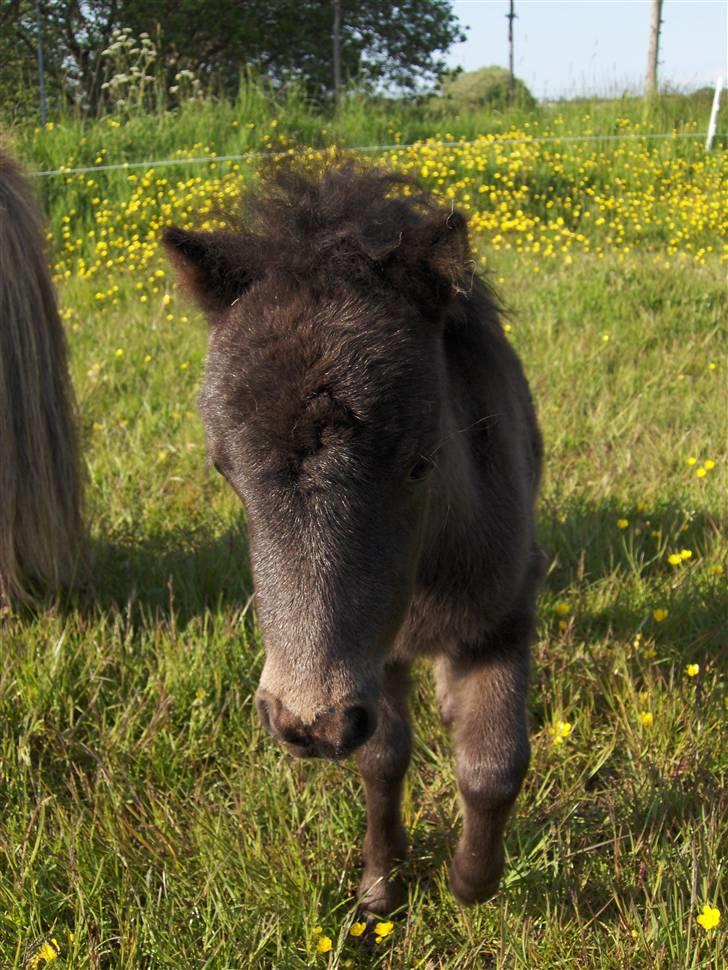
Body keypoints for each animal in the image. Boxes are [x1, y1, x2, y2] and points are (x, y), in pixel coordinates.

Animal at [165, 163, 540, 912]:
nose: (308, 723)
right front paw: (380, 886)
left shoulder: (503, 617)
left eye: (421, 461)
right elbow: (381, 759)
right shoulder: (378, 657)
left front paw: (469, 883)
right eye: (224, 469)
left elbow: (492, 765)